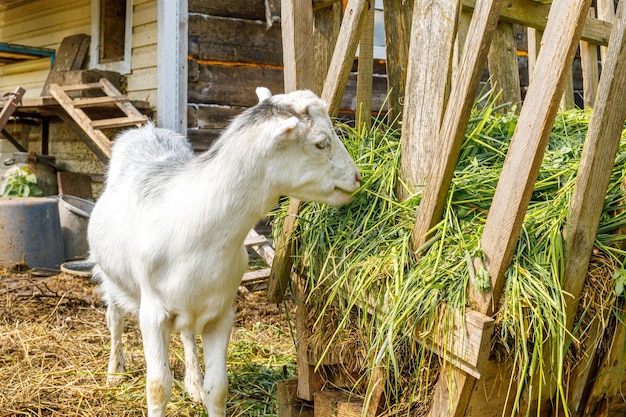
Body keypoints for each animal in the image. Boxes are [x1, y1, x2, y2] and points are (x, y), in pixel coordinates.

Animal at [88, 88, 360, 416]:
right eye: (321, 142)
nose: (357, 177)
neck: (196, 232)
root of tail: (148, 130)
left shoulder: (221, 313)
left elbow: (217, 389)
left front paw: (202, 389)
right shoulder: (152, 313)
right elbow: (158, 387)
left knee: (187, 335)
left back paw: (192, 383)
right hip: (109, 275)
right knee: (114, 318)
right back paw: (115, 372)